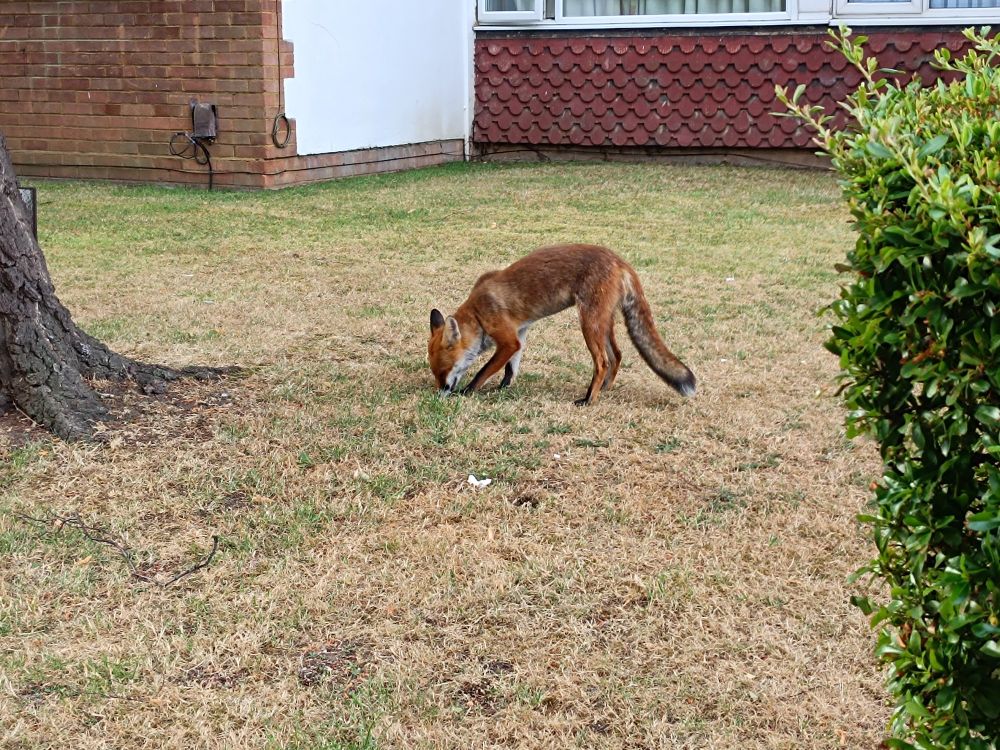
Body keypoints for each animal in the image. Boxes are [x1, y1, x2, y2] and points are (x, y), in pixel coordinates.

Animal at [428, 243, 695, 405]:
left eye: (442, 371)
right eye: (435, 373)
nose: (439, 394)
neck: (478, 313)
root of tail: (620, 261)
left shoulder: (507, 340)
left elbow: (483, 371)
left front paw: (468, 392)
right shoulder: (520, 334)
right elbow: (511, 369)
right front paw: (503, 388)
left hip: (588, 322)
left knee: (602, 361)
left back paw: (588, 400)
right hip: (603, 322)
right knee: (617, 355)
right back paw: (604, 390)